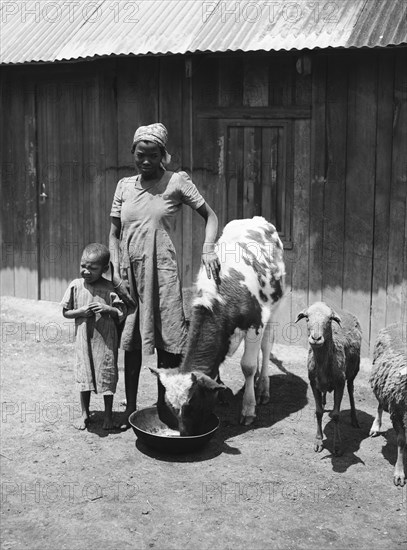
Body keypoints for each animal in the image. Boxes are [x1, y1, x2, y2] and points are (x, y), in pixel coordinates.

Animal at [296, 302, 364, 458]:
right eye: (307, 318)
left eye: (329, 320)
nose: (316, 338)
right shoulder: (313, 383)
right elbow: (318, 412)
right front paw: (318, 441)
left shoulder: (340, 383)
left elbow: (337, 415)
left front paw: (337, 446)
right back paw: (324, 400)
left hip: (353, 371)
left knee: (351, 391)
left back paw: (354, 419)